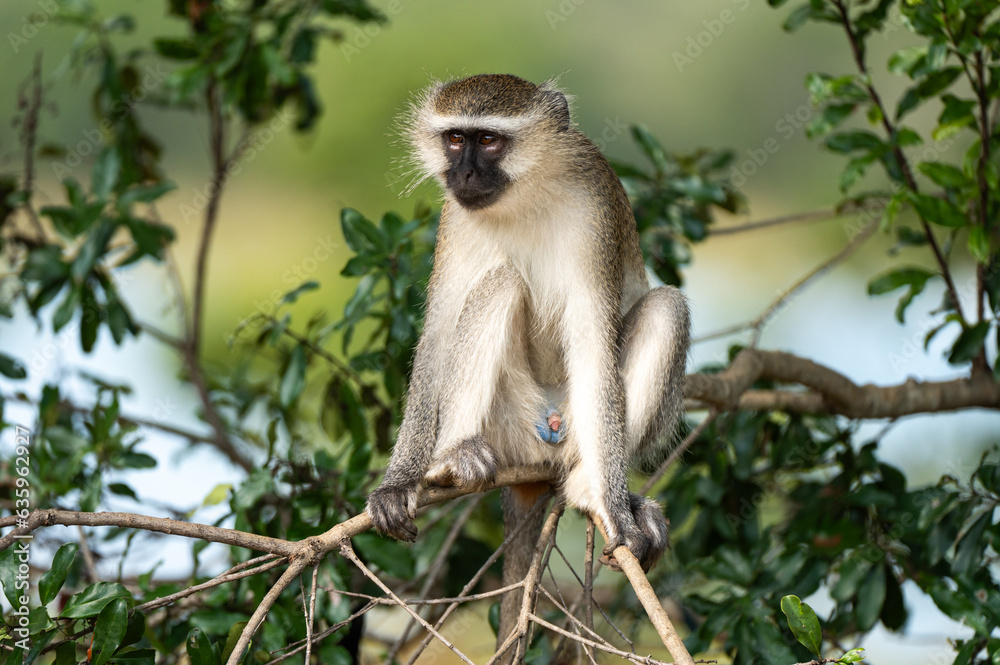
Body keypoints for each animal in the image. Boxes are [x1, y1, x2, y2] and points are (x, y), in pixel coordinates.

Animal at [365, 74, 690, 654]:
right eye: (455, 139)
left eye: (490, 141)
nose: (465, 173)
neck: (524, 194)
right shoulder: (454, 218)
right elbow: (437, 337)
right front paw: (397, 483)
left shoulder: (593, 209)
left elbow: (593, 341)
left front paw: (612, 505)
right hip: (511, 422)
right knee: (500, 280)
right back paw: (454, 457)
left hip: (574, 423)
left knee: (666, 308)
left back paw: (589, 488)